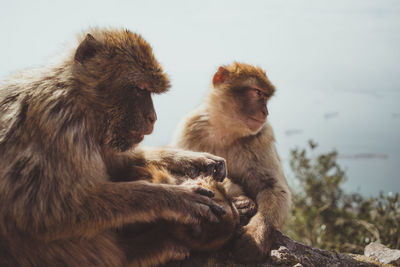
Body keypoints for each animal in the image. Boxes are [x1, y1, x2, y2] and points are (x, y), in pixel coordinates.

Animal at [0, 28, 227, 266]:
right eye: (139, 90)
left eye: (149, 91)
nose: (153, 117)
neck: (82, 101)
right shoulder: (58, 123)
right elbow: (47, 210)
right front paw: (173, 198)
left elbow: (118, 162)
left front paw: (191, 160)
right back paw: (137, 251)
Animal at [173, 61, 292, 262]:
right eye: (257, 93)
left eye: (266, 96)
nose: (265, 112)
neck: (225, 131)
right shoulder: (191, 126)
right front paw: (238, 198)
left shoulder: (262, 135)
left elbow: (274, 188)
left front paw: (256, 235)